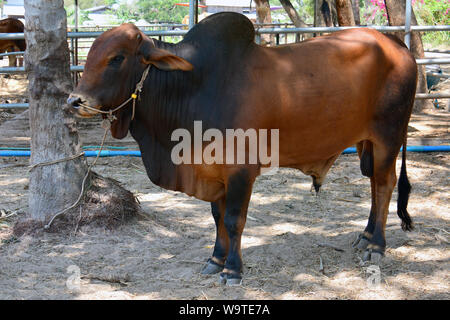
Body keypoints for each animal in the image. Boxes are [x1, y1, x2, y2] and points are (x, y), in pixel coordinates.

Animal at [67, 11, 414, 284]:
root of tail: (397, 44)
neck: (194, 87)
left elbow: (234, 220)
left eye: (117, 58)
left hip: (388, 137)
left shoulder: (240, 171)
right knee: (374, 185)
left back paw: (377, 245)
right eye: (91, 53)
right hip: (367, 143)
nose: (74, 101)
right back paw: (366, 236)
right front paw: (215, 260)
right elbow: (217, 218)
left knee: (384, 184)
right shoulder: (212, 171)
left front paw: (232, 270)